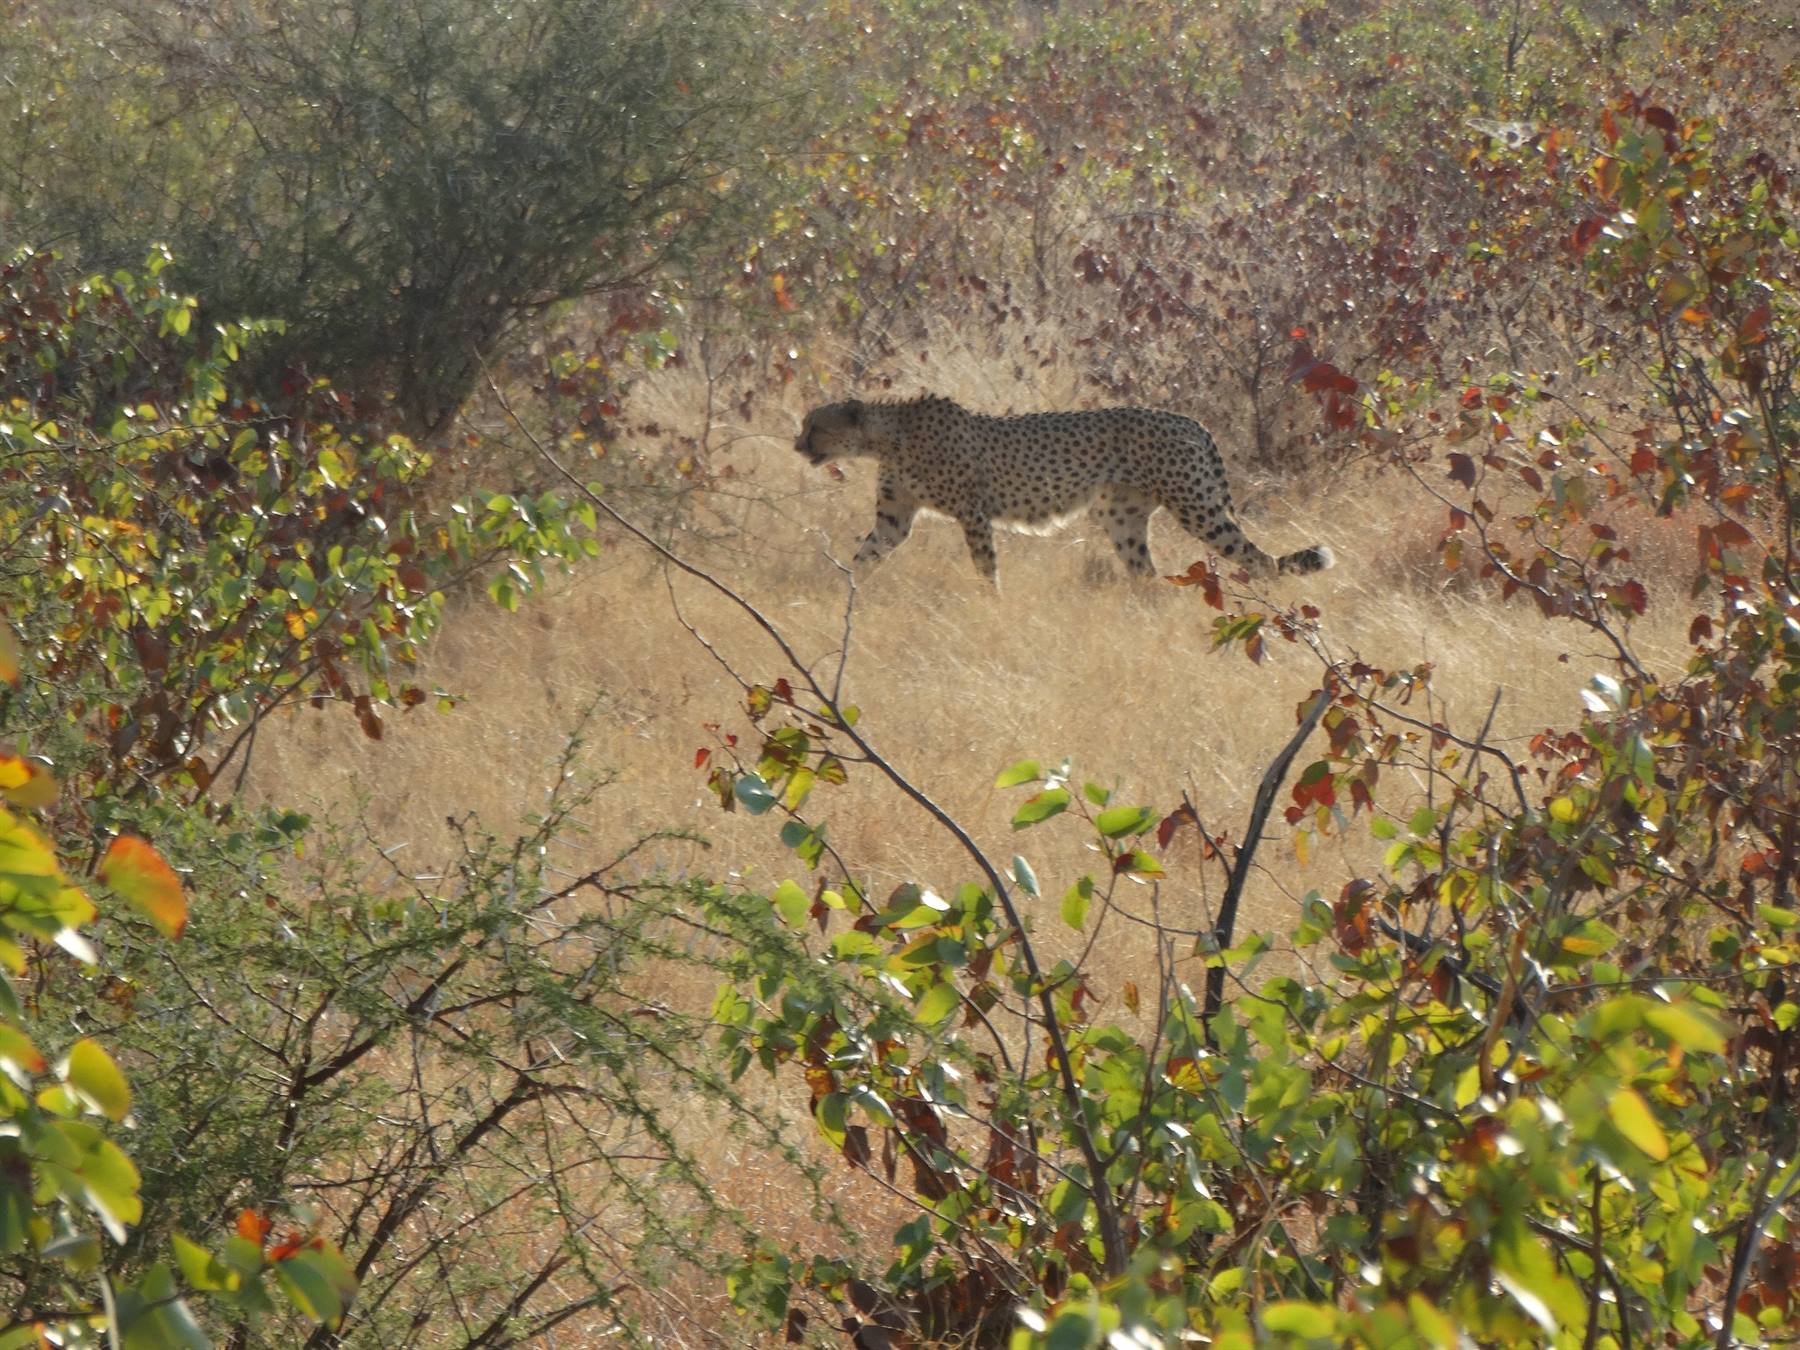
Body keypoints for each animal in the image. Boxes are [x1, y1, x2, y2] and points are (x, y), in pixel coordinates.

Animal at [795, 394, 1333, 583]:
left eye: (815, 426)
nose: (797, 444)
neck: (889, 435)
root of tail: (1186, 417)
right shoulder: (894, 518)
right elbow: (865, 555)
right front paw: (842, 590)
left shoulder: (973, 513)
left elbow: (986, 567)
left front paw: (992, 605)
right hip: (1121, 519)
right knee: (1146, 574)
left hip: (1197, 506)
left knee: (1260, 560)